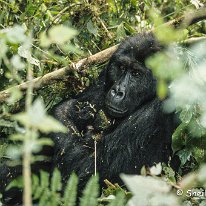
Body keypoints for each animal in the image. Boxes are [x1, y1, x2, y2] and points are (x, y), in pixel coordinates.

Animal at [0, 32, 175, 203]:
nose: (117, 91)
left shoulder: (156, 113)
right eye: (121, 67)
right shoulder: (105, 76)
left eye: (136, 74)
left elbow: (87, 172)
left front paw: (65, 112)